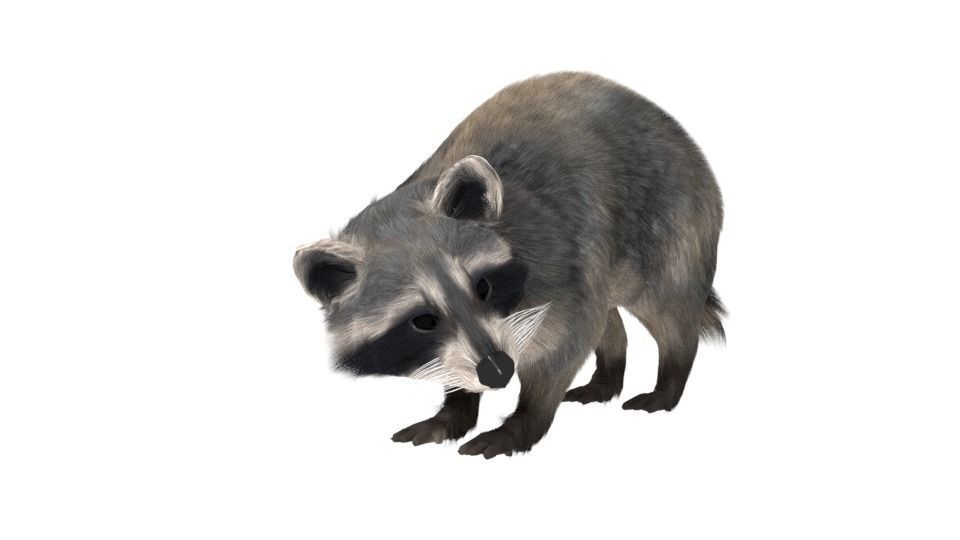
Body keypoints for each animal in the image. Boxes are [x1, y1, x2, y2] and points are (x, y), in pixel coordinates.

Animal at [294, 72, 724, 459]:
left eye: (482, 287)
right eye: (423, 320)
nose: (498, 370)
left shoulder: (557, 259)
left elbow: (565, 343)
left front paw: (522, 422)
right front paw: (455, 408)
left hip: (670, 216)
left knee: (667, 306)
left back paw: (669, 379)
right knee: (607, 315)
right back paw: (607, 375)